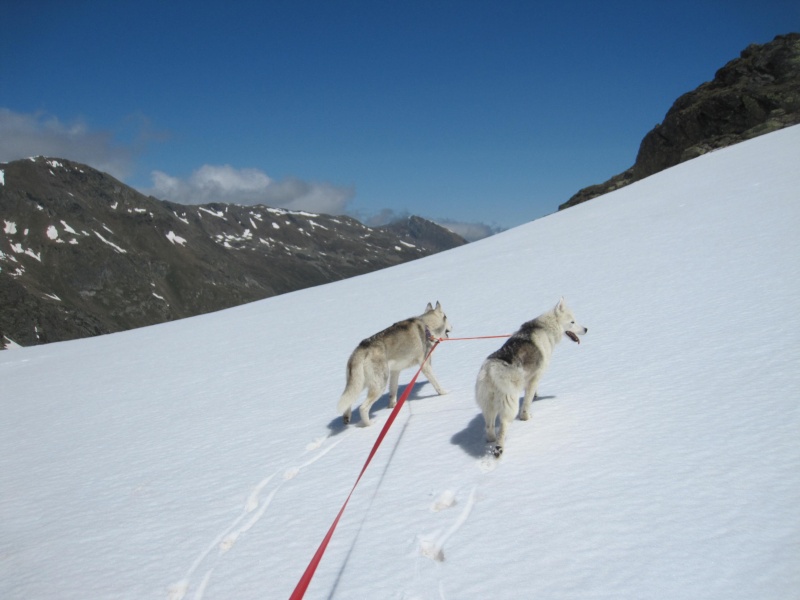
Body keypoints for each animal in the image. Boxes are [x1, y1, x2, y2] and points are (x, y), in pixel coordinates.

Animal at [476, 298, 588, 458]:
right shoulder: (534, 379)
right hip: (509, 406)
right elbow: (527, 402)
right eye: (572, 322)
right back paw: (499, 449)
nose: (586, 329)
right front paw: (526, 418)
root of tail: (490, 370)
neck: (545, 328)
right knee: (503, 427)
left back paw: (491, 441)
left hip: (488, 406)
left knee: (489, 428)